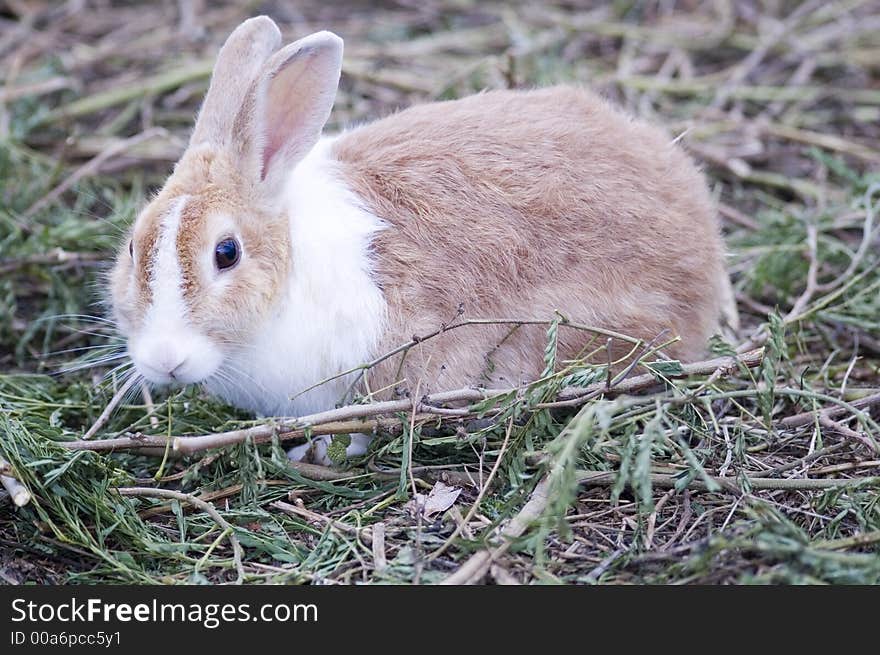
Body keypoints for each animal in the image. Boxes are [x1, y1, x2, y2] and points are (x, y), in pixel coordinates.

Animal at [108, 16, 736, 466]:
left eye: (226, 253)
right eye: (135, 248)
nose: (165, 360)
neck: (293, 264)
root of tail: (702, 238)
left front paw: (317, 452)